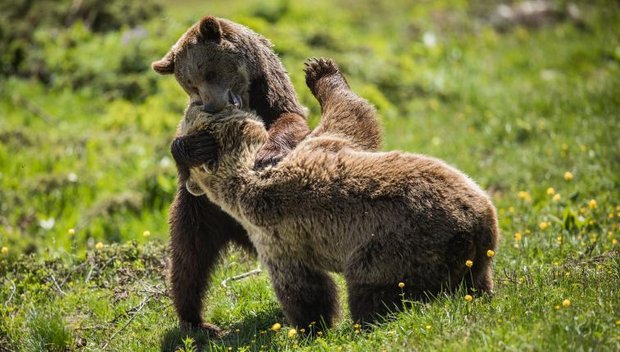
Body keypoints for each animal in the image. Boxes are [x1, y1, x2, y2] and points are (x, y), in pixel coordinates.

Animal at [152, 16, 310, 334]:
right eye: (190, 85)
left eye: (209, 71)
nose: (212, 105)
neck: (247, 94)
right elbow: (182, 149)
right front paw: (194, 146)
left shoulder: (270, 92)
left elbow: (290, 118)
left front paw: (267, 152)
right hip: (199, 213)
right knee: (188, 262)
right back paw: (196, 320)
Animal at [178, 58, 498, 330]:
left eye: (191, 110)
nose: (198, 100)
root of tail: (475, 225)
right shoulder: (318, 147)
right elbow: (353, 121)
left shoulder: (271, 227)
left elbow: (301, 286)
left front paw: (309, 327)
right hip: (468, 253)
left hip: (396, 245)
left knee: (370, 283)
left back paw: (367, 321)